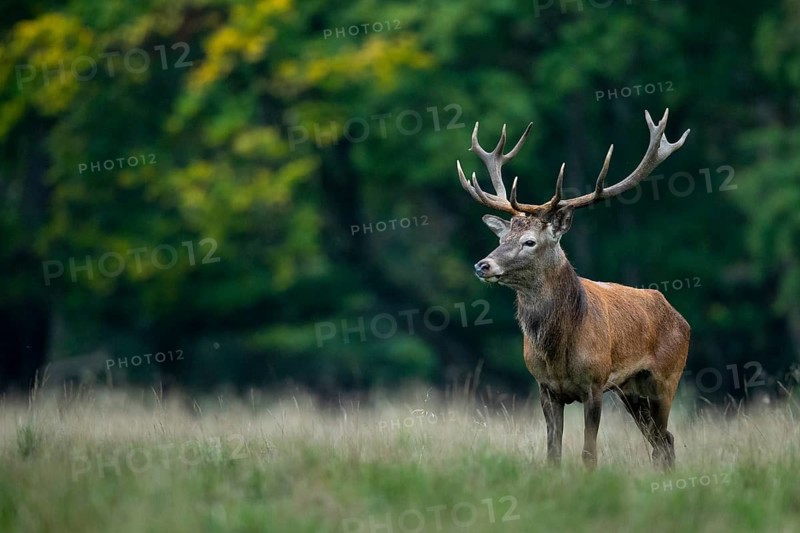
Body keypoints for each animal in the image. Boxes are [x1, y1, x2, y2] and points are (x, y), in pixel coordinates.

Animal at [456, 109, 691, 470]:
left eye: (529, 241)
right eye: (502, 238)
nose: (483, 265)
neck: (558, 349)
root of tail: (680, 317)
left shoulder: (594, 384)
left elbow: (588, 453)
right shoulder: (545, 387)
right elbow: (553, 452)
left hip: (665, 379)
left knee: (665, 440)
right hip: (630, 391)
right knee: (661, 440)